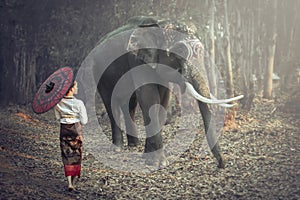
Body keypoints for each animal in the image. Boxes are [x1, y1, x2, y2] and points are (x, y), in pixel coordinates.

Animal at [78, 16, 244, 168]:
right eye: (180, 51)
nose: (221, 164)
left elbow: (162, 100)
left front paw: (147, 156)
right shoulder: (137, 60)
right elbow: (149, 98)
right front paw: (160, 163)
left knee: (130, 104)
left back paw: (133, 144)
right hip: (99, 72)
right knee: (111, 103)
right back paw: (117, 148)